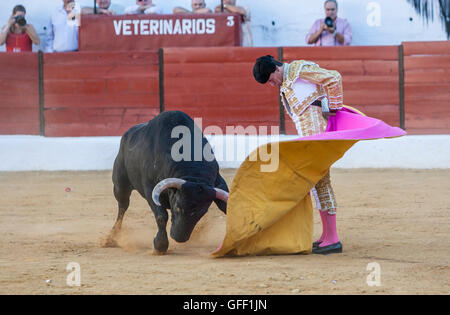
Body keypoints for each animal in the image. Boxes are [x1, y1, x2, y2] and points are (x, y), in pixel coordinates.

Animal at [103, 111, 229, 254]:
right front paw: (160, 246)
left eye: (202, 213)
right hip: (120, 185)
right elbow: (161, 216)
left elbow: (226, 206)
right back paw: (111, 239)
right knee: (122, 207)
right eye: (177, 207)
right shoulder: (150, 188)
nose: (178, 238)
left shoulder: (217, 182)